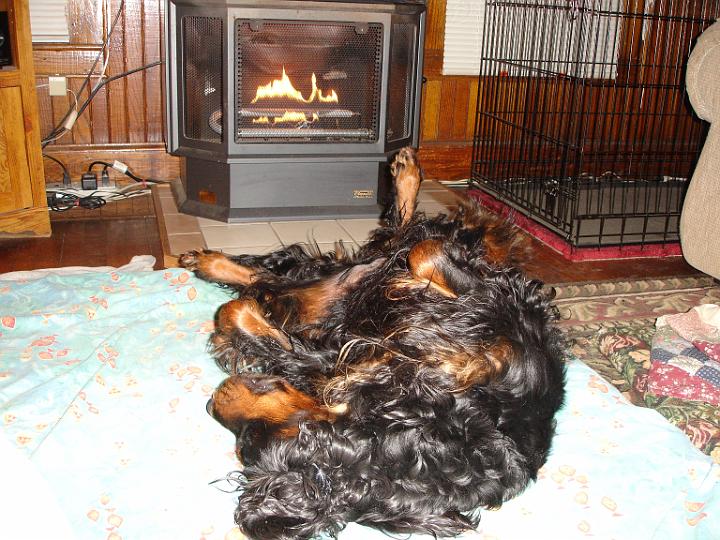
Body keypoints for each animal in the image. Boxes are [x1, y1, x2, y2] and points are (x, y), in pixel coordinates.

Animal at [177, 148, 564, 540]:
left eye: (247, 444)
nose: (212, 403)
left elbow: (238, 314)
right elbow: (423, 252)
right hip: (348, 282)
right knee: (386, 240)